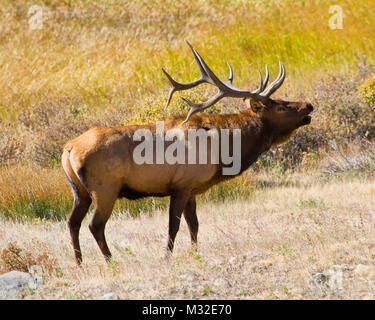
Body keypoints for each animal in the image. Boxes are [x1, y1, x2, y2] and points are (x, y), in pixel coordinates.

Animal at [62, 40, 314, 264]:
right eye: (280, 106)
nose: (309, 105)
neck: (223, 150)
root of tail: (68, 148)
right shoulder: (181, 185)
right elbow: (173, 225)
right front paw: (167, 257)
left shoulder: (192, 188)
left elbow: (194, 224)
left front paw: (195, 253)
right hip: (105, 188)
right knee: (95, 225)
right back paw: (110, 261)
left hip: (80, 191)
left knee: (72, 222)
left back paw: (79, 263)